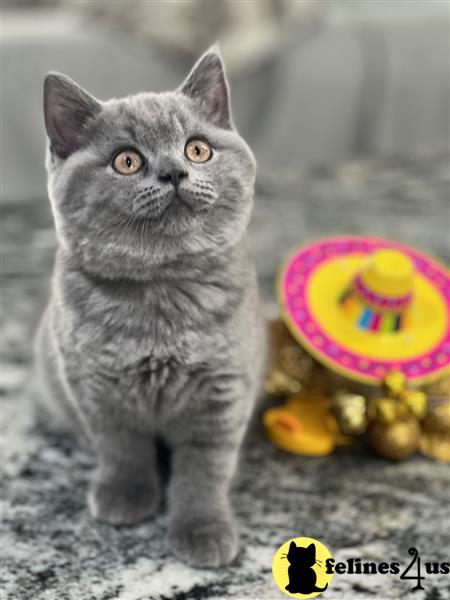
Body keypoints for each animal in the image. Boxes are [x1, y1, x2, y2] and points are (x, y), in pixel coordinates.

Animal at [34, 48, 264, 568]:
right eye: (127, 160)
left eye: (197, 150)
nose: (174, 171)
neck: (163, 292)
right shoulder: (98, 388)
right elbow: (123, 449)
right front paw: (124, 496)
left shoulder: (222, 390)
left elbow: (204, 469)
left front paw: (202, 531)